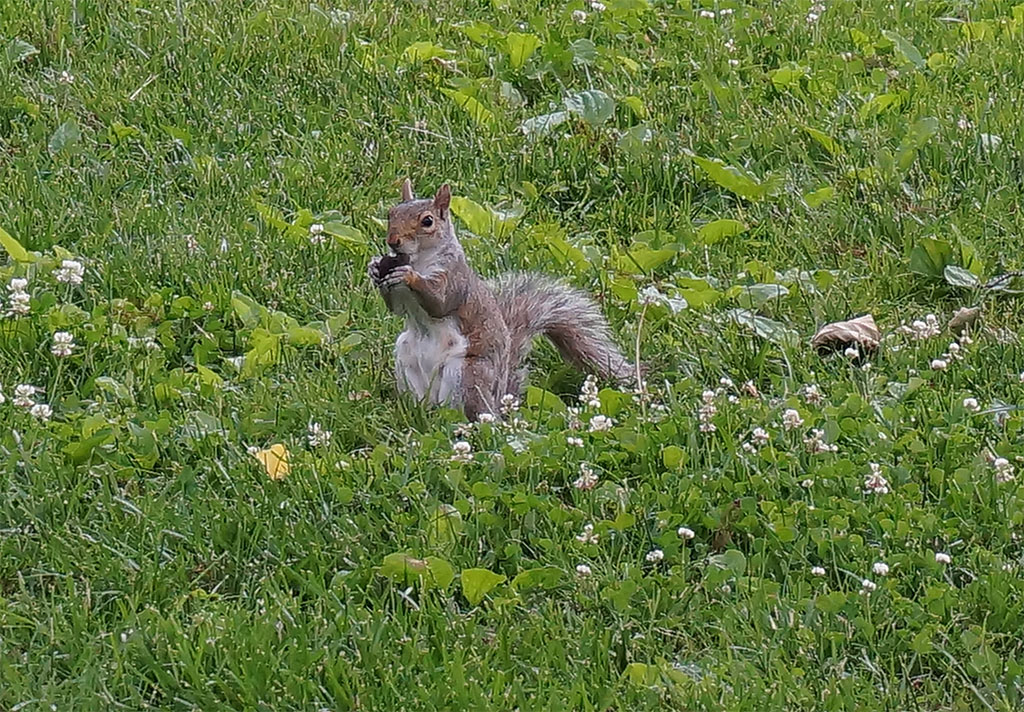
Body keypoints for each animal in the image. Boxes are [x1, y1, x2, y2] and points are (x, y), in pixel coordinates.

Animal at [368, 179, 634, 424]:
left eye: (427, 221)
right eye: (391, 213)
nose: (392, 241)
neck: (419, 260)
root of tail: (495, 404)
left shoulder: (455, 280)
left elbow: (439, 303)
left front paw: (409, 276)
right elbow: (396, 308)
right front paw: (374, 267)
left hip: (467, 374)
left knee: (468, 414)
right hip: (406, 359)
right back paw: (417, 412)